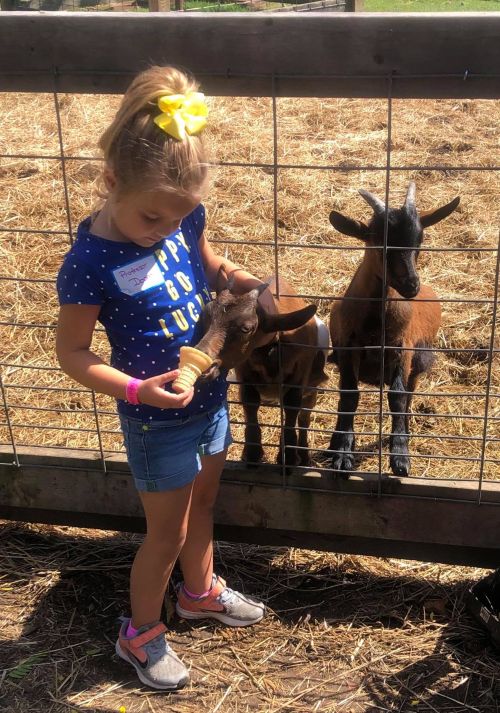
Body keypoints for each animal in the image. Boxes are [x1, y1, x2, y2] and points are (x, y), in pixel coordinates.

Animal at [195, 266, 329, 468]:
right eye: (206, 314)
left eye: (246, 328)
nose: (203, 362)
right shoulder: (244, 376)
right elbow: (250, 404)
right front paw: (252, 454)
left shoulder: (299, 378)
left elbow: (292, 408)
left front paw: (289, 457)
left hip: (312, 388)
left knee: (304, 417)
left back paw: (304, 455)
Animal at [328, 182, 460, 477]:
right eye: (379, 241)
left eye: (419, 240)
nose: (411, 285)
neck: (375, 326)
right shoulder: (348, 348)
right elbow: (349, 396)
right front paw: (342, 452)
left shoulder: (402, 348)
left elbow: (397, 398)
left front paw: (400, 456)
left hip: (418, 364)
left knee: (409, 395)